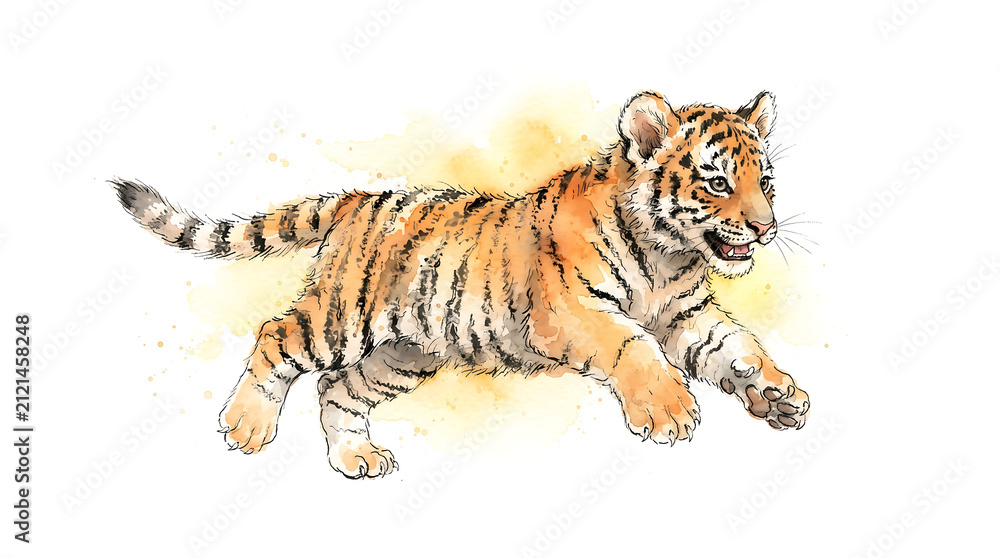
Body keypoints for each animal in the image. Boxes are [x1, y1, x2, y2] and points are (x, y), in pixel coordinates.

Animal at [113, 89, 810, 479]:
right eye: (717, 182)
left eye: (767, 182)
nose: (767, 227)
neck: (669, 255)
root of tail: (356, 200)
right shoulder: (570, 311)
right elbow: (631, 344)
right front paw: (667, 411)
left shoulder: (688, 314)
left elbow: (738, 347)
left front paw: (780, 394)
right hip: (340, 318)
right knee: (275, 335)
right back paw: (245, 426)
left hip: (404, 353)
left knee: (339, 389)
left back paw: (357, 459)